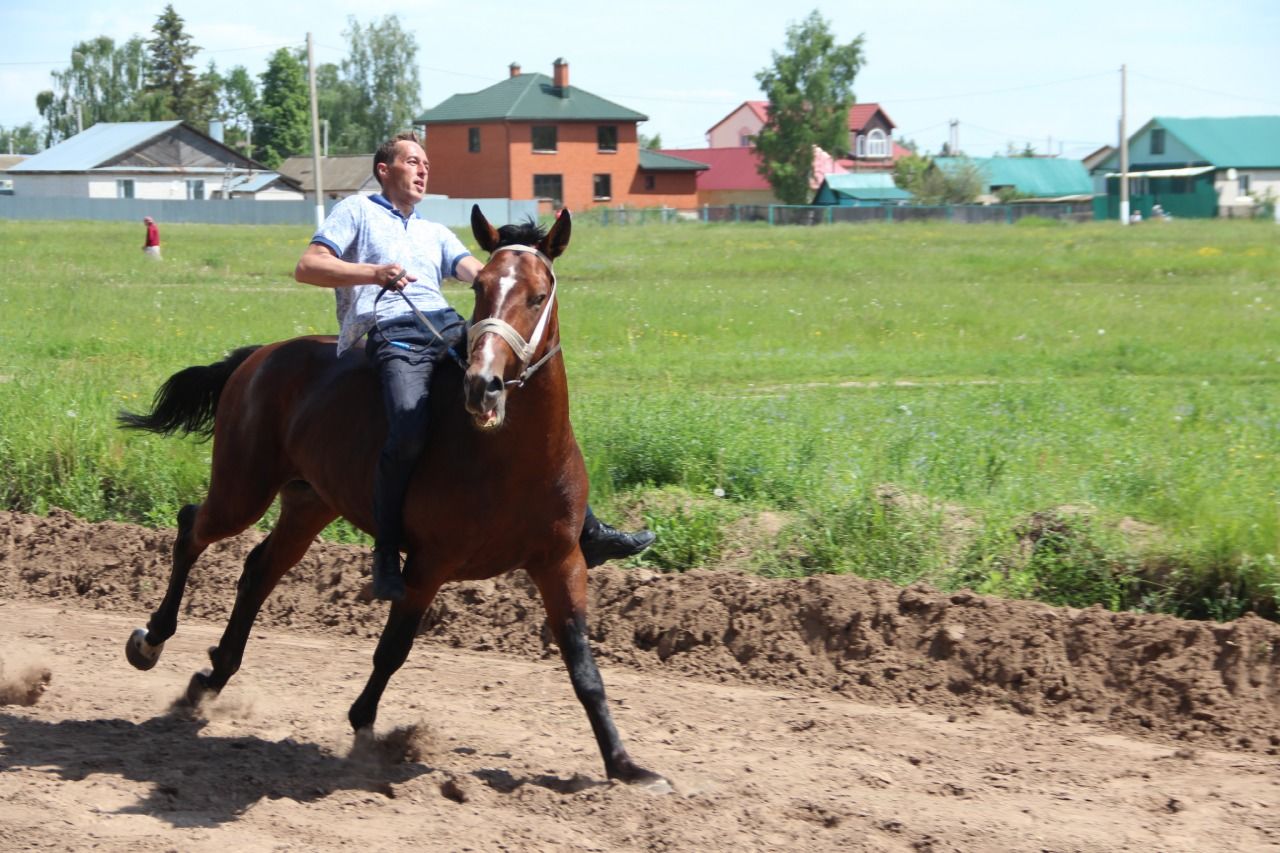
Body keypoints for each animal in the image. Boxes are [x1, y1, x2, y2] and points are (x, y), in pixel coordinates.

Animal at [117, 204, 670, 783]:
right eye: (482, 288)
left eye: (538, 295)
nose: (483, 385)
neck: (508, 458)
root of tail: (260, 355)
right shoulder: (428, 564)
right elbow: (393, 649)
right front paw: (365, 728)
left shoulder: (560, 562)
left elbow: (583, 666)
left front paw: (625, 765)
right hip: (241, 491)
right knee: (191, 529)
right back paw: (152, 639)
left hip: (309, 504)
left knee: (259, 570)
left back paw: (213, 676)